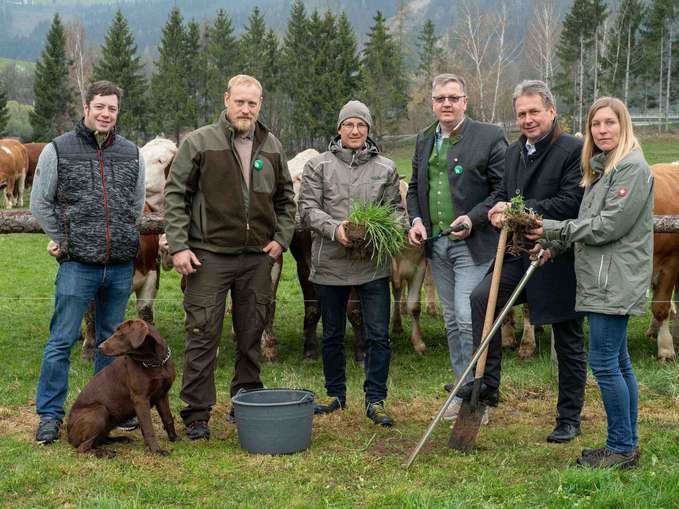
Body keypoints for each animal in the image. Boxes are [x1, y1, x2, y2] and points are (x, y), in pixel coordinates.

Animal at [66, 320, 177, 454]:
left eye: (120, 335)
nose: (100, 347)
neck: (156, 363)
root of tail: (68, 435)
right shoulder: (140, 399)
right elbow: (148, 427)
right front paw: (156, 450)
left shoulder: (162, 395)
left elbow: (168, 418)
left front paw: (175, 439)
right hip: (100, 411)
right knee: (84, 447)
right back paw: (106, 453)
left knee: (99, 440)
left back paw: (121, 439)